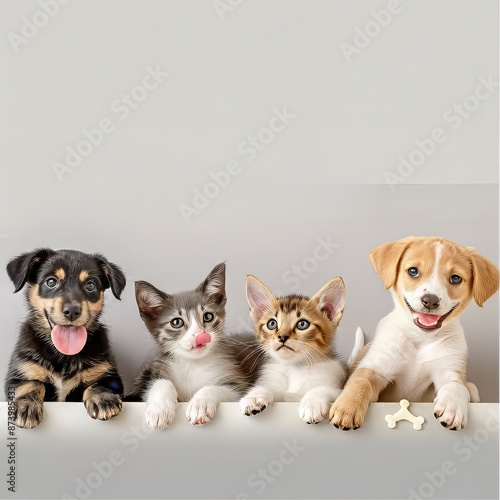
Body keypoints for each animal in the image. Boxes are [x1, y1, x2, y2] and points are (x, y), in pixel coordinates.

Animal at [4, 248, 126, 428]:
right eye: (51, 282)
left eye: (91, 285)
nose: (72, 311)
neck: (63, 355)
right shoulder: (18, 375)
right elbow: (32, 383)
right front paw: (25, 405)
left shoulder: (109, 376)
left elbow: (98, 383)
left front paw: (103, 398)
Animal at [131, 262, 248, 430]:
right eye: (176, 322)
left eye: (208, 316)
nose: (200, 335)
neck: (193, 364)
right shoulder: (153, 373)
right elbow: (160, 382)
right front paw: (159, 410)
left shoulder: (238, 383)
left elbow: (220, 388)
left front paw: (200, 404)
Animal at [330, 237, 498, 430]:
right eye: (413, 271)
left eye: (455, 278)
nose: (430, 300)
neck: (421, 338)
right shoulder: (376, 369)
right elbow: (360, 381)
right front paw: (347, 408)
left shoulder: (449, 370)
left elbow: (455, 386)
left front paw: (453, 407)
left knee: (468, 387)